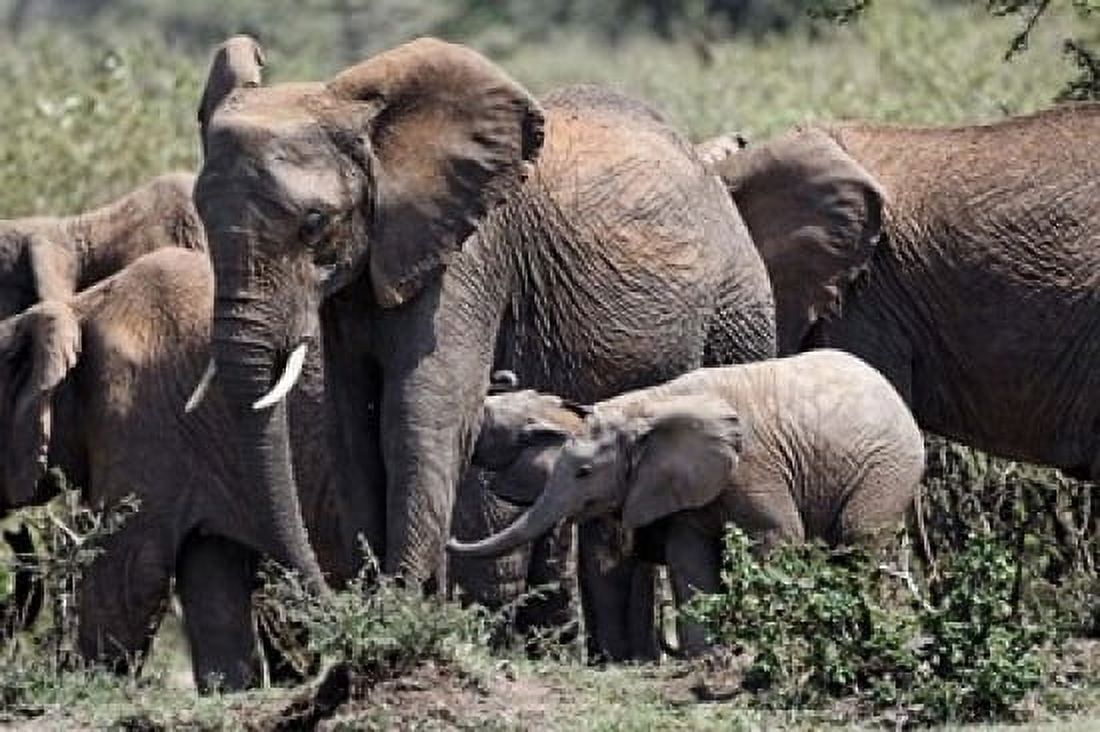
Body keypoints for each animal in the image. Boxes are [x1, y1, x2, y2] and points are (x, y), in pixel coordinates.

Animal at [190, 35, 775, 661]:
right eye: (200, 216)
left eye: (314, 221)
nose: (332, 600)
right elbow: (354, 426)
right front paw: (380, 608)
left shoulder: (470, 253)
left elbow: (420, 412)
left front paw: (402, 613)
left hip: (737, 305)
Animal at [449, 349, 925, 654]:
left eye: (583, 473)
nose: (449, 541)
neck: (646, 406)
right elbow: (687, 556)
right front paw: (704, 658)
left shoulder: (754, 467)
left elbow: (776, 538)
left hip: (886, 467)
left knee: (859, 541)